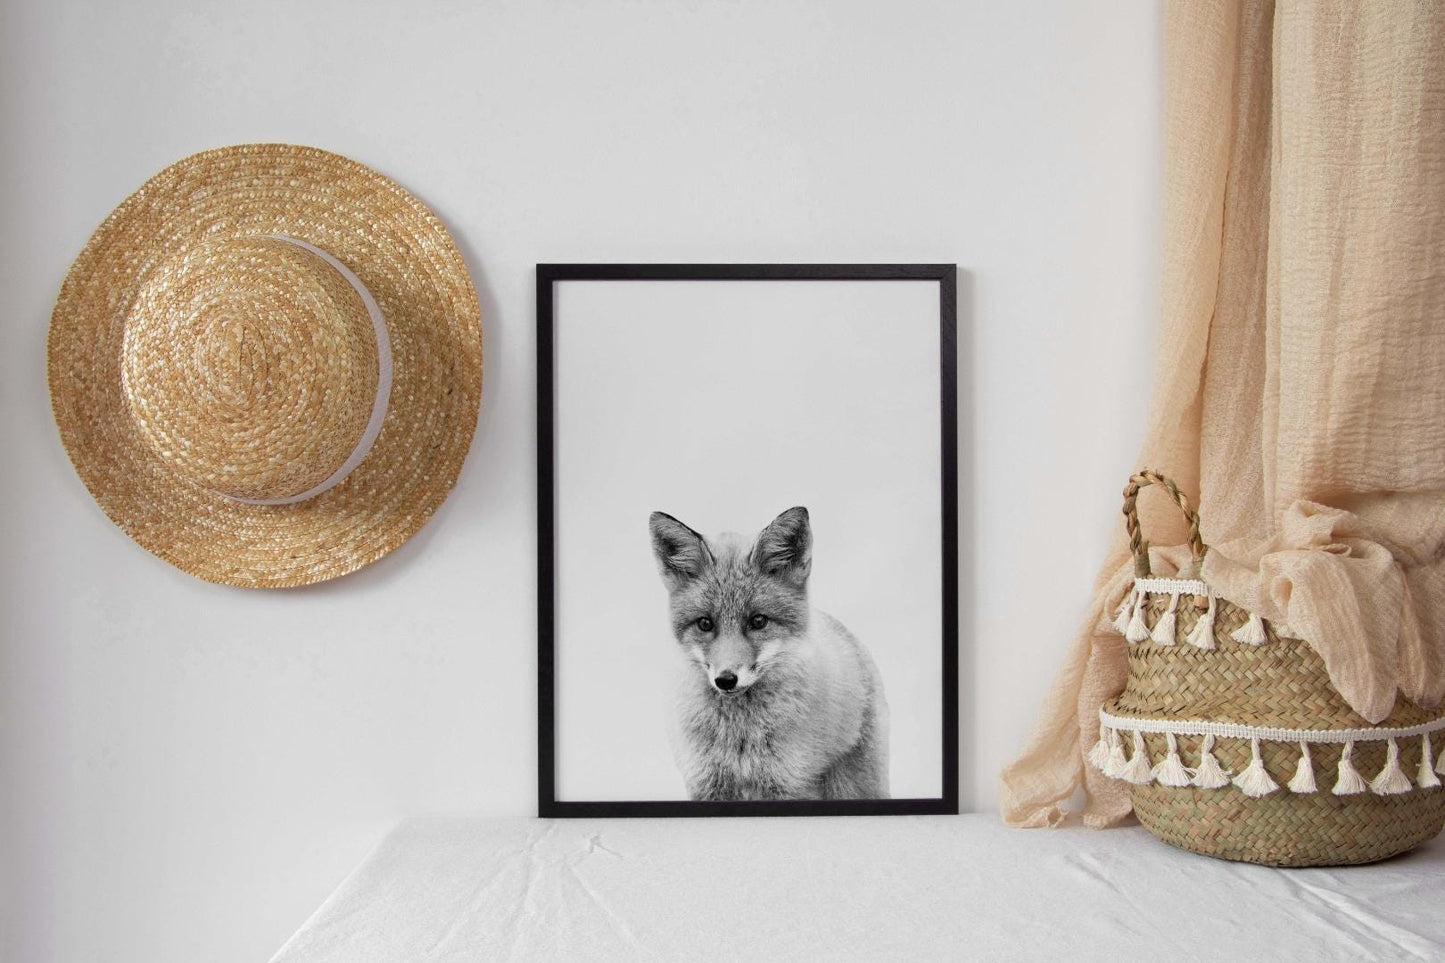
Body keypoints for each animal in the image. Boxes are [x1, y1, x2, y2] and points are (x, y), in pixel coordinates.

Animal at [649, 506, 889, 801]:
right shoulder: (707, 784)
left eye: (758, 621)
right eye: (705, 623)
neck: (739, 736)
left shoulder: (791, 784)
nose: (725, 680)